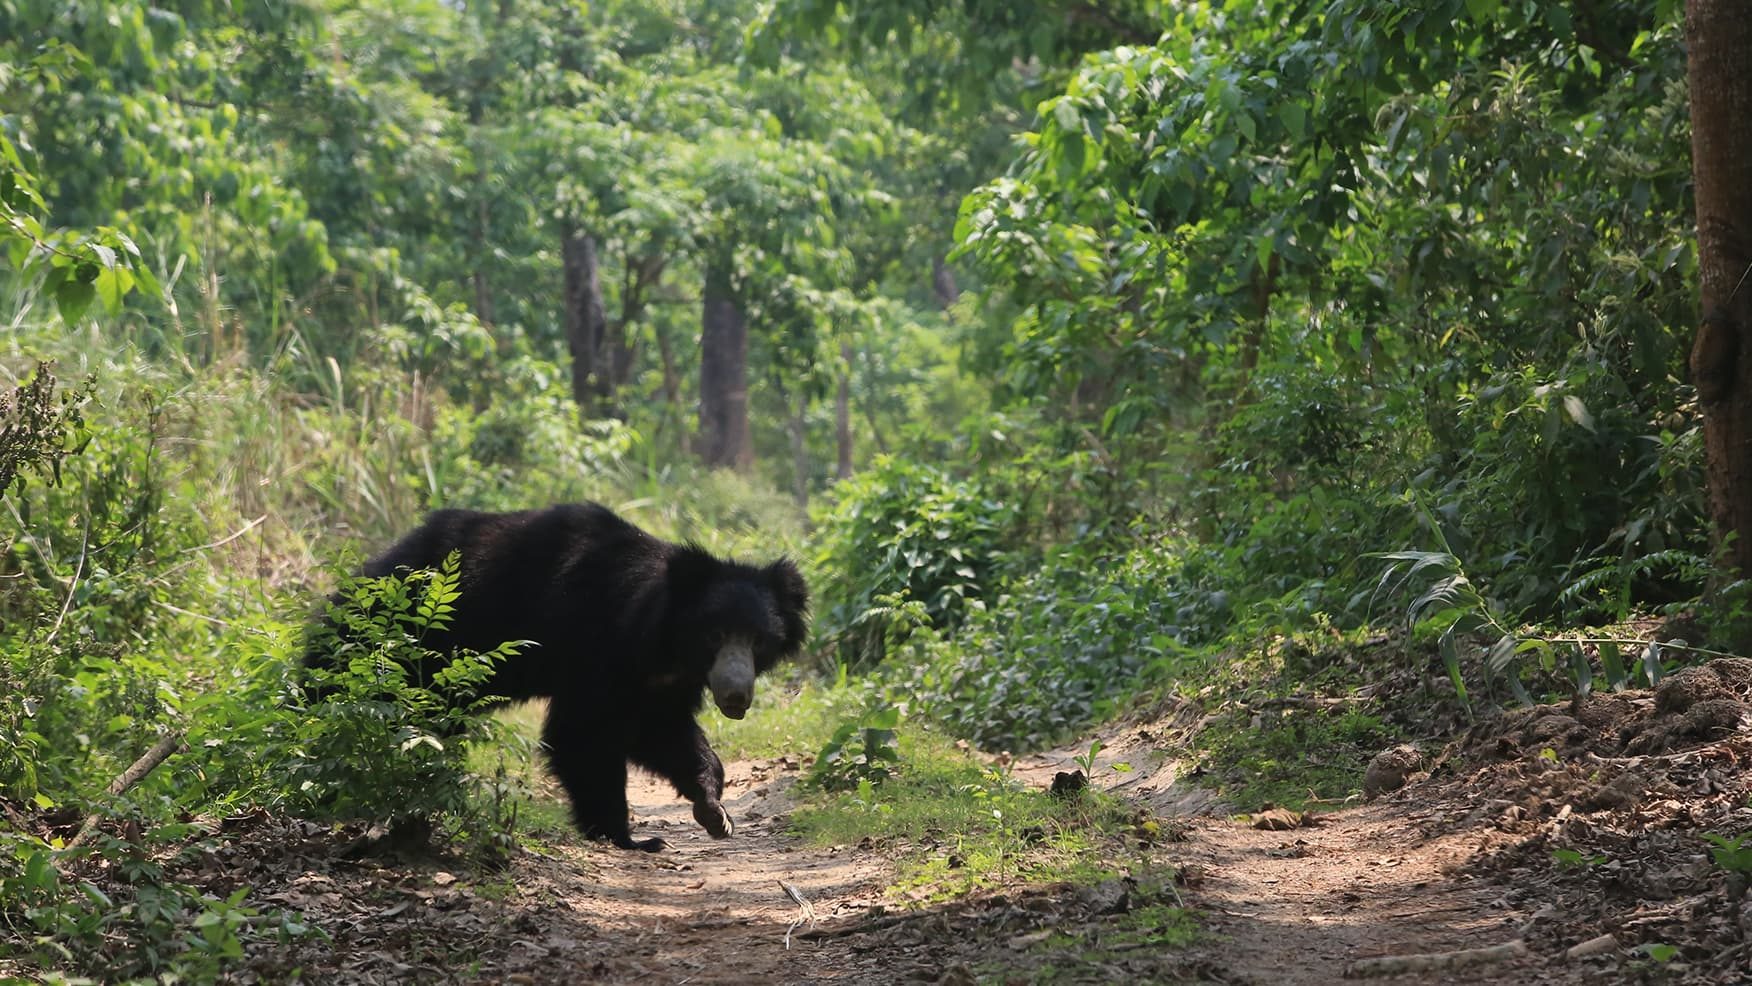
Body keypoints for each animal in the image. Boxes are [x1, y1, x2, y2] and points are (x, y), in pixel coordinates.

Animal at [304, 504, 809, 851]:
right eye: (715, 634)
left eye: (759, 640)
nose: (737, 695)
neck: (661, 646)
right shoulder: (595, 648)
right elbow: (582, 735)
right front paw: (630, 838)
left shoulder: (658, 683)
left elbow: (664, 733)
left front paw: (713, 810)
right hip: (406, 635)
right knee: (337, 685)